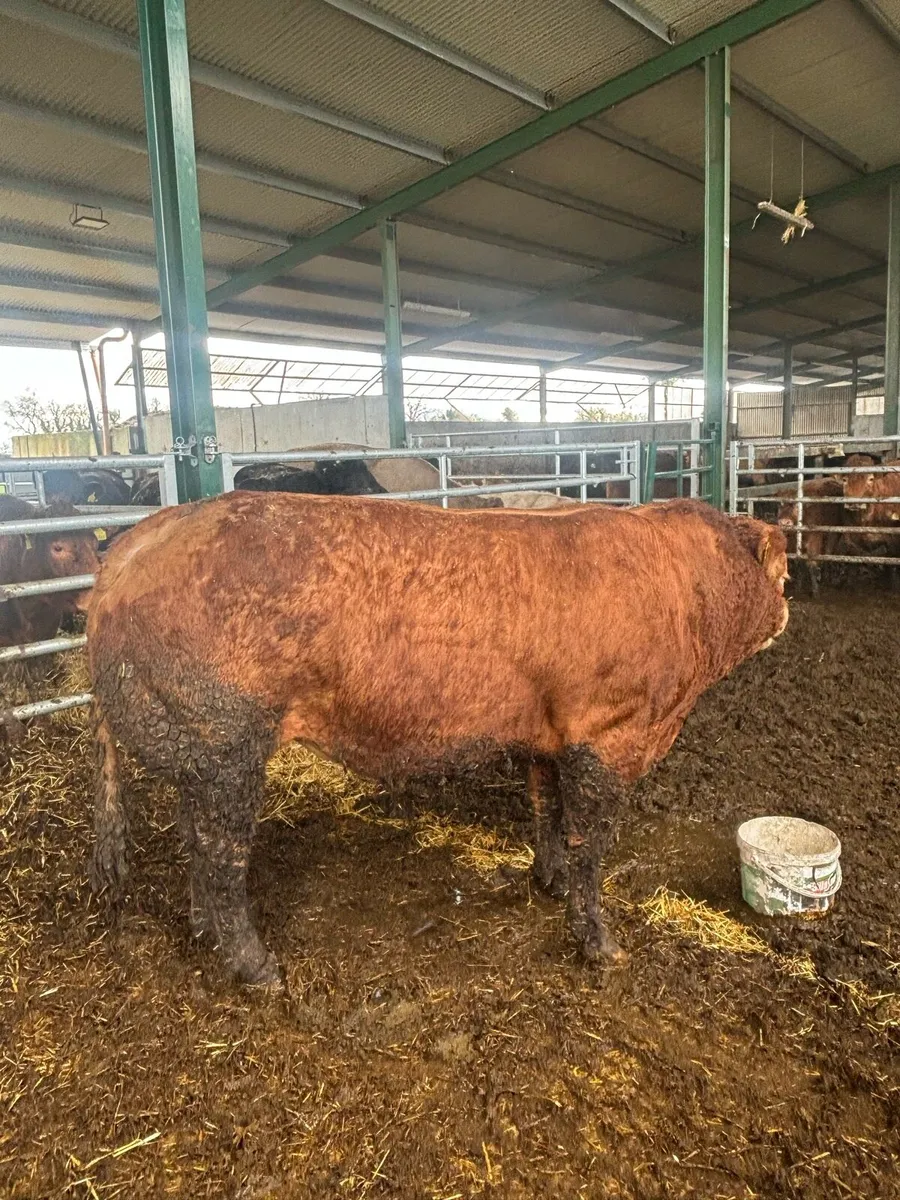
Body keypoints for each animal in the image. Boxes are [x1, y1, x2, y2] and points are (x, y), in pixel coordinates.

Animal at [87, 493, 788, 987]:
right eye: (783, 577)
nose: (786, 609)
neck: (684, 592)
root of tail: (129, 550)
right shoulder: (609, 734)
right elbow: (591, 845)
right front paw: (600, 945)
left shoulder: (547, 735)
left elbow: (546, 812)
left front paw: (548, 881)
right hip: (226, 740)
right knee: (221, 854)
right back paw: (256, 967)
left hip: (198, 749)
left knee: (193, 837)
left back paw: (203, 930)